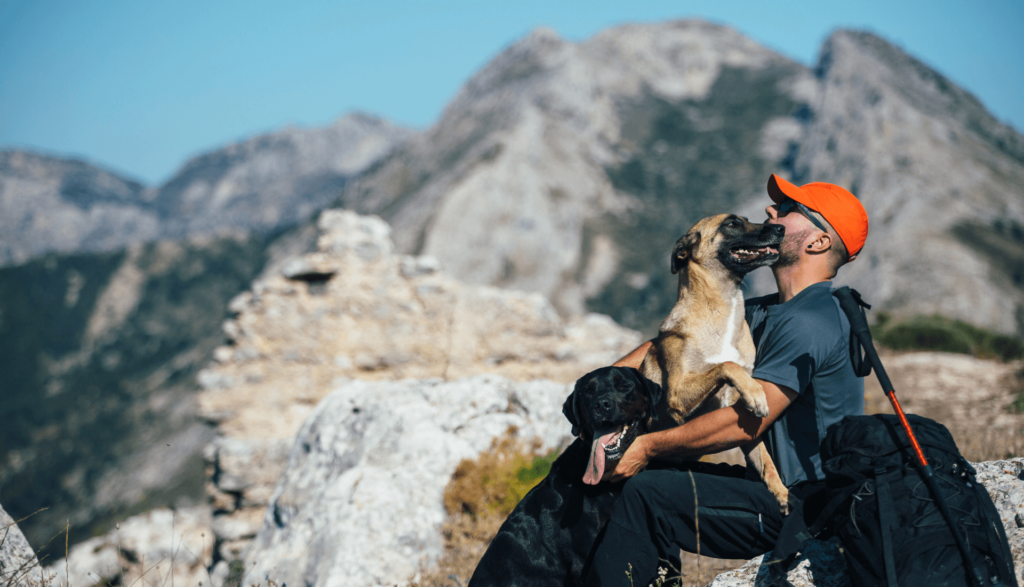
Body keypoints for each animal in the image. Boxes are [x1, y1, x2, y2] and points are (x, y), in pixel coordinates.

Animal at [638, 214, 790, 512]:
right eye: (731, 223)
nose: (781, 228)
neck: (723, 309)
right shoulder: (677, 395)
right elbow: (727, 366)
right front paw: (755, 392)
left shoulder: (740, 421)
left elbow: (765, 459)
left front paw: (779, 490)